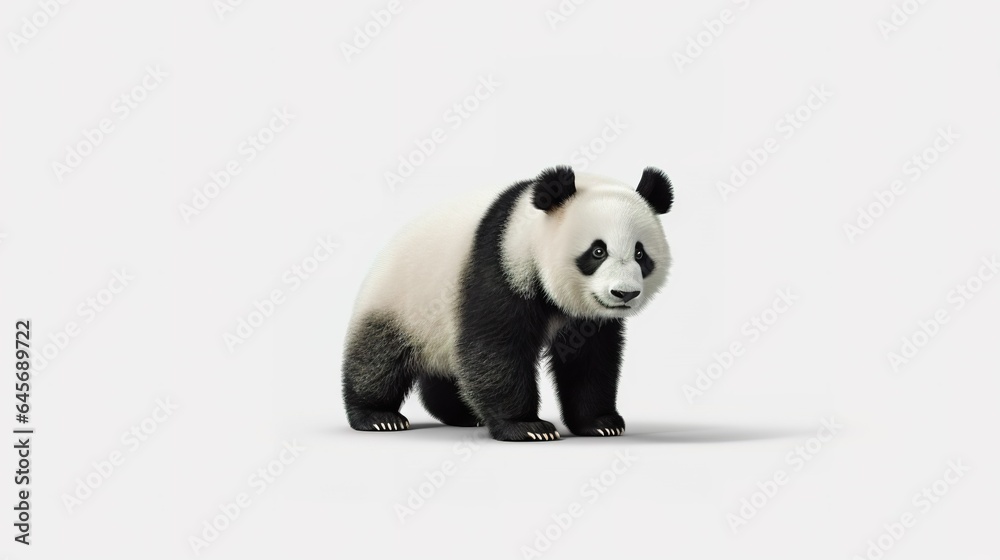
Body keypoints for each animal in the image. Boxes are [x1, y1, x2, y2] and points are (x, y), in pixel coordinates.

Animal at [342, 166, 673, 441]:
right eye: (598, 251)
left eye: (640, 254)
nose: (624, 293)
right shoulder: (500, 270)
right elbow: (494, 349)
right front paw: (526, 427)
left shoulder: (588, 318)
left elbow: (590, 359)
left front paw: (600, 423)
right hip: (400, 301)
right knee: (379, 358)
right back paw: (378, 416)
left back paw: (464, 414)